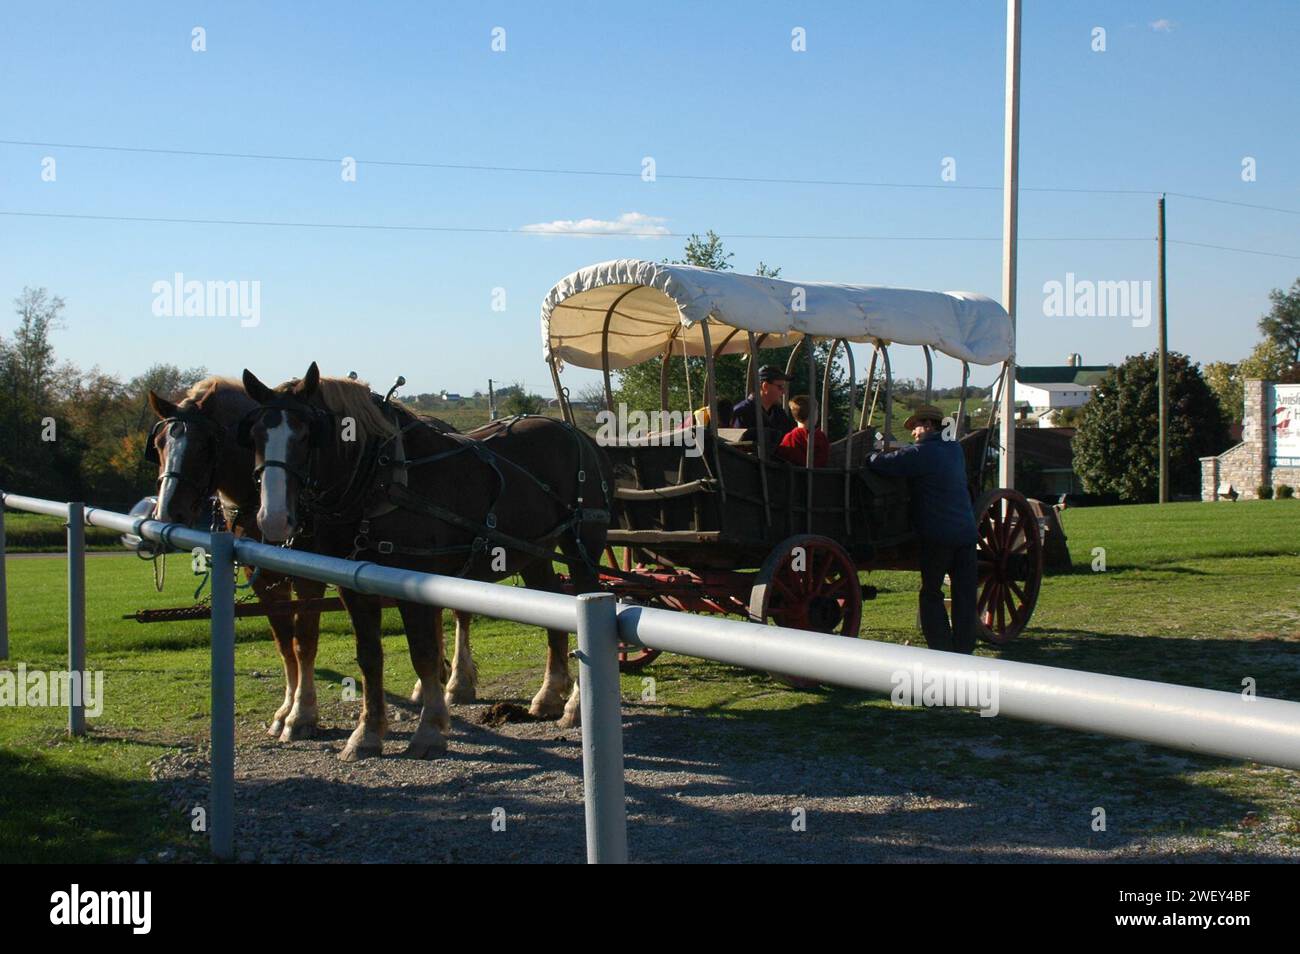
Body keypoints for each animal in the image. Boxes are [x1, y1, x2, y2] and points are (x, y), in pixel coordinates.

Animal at [144, 376, 478, 743]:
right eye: (158, 445)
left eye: (205, 445)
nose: (166, 513)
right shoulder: (261, 576)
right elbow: (283, 643)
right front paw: (285, 709)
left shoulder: (309, 577)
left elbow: (304, 642)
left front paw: (301, 714)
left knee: (458, 614)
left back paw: (457, 682)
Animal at [243, 363, 613, 764]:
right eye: (255, 434)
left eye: (307, 434)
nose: (272, 519)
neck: (382, 475)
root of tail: (577, 434)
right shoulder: (353, 586)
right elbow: (369, 656)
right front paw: (367, 733)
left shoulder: (414, 579)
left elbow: (423, 652)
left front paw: (430, 729)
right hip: (534, 552)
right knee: (551, 611)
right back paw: (548, 696)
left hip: (581, 550)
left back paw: (575, 705)